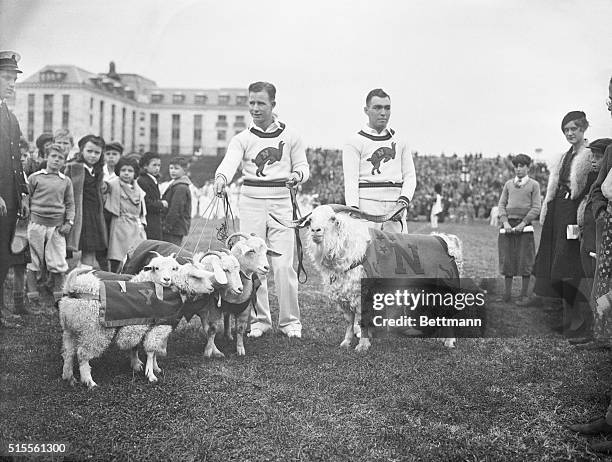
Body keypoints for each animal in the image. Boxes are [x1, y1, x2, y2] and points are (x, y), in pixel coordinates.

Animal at [272, 204, 464, 352]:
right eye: (311, 220)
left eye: (333, 218)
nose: (315, 231)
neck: (349, 250)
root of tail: (446, 240)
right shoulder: (344, 295)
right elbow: (349, 321)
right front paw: (346, 342)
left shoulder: (362, 294)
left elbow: (361, 319)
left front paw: (362, 345)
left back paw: (449, 342)